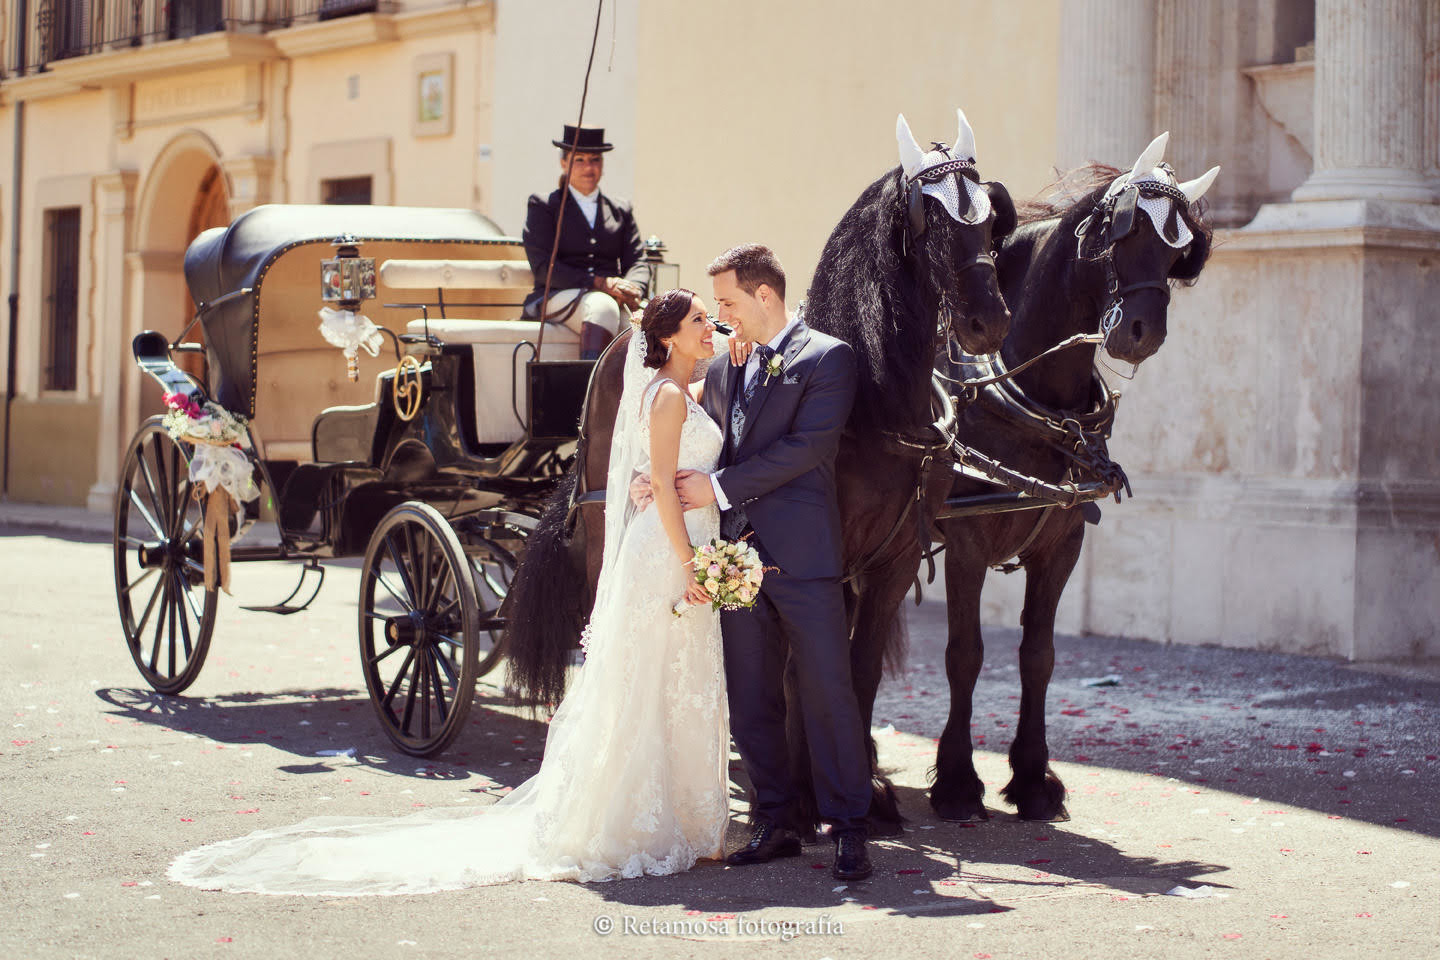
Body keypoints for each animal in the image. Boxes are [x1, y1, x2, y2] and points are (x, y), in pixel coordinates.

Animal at [506, 110, 1013, 834]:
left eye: (988, 219)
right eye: (932, 220)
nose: (987, 322)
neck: (875, 397)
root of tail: (621, 338)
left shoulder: (890, 562)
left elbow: (854, 672)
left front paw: (860, 791)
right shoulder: (819, 557)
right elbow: (803, 671)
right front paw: (803, 796)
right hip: (607, 524)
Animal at [927, 131, 1221, 823]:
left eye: (1178, 252)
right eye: (1122, 231)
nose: (1142, 332)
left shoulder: (1062, 545)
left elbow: (1039, 656)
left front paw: (1033, 777)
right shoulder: (967, 546)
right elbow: (965, 654)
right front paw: (957, 782)